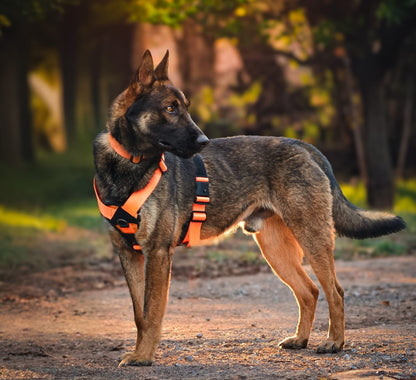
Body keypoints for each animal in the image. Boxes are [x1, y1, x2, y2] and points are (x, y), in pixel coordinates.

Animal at [93, 50, 406, 366]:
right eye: (170, 108)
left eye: (184, 108)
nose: (204, 141)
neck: (130, 163)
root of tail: (305, 146)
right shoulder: (129, 255)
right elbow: (139, 315)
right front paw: (140, 352)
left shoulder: (157, 253)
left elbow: (152, 312)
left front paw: (143, 356)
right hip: (276, 251)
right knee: (309, 291)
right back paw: (301, 339)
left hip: (312, 239)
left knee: (335, 292)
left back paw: (334, 342)